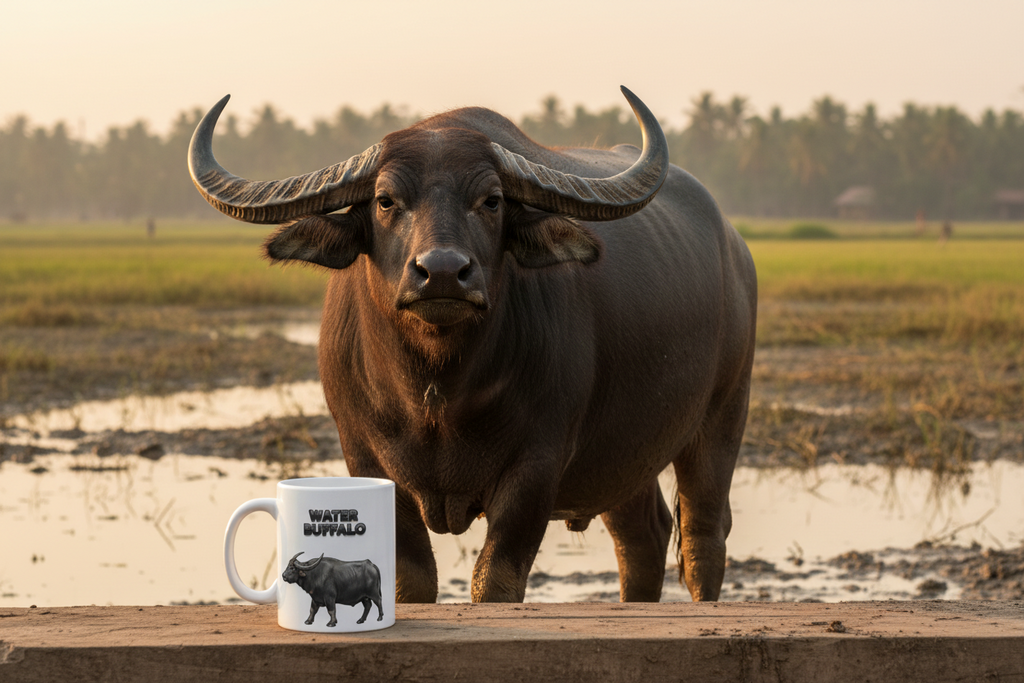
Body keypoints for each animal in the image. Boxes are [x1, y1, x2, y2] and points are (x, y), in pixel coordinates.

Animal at [189, 87, 757, 603]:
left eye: (492, 200)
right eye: (385, 200)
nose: (442, 271)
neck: (438, 393)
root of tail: (735, 247)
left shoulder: (537, 467)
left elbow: (495, 579)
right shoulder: (364, 455)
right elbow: (411, 580)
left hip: (723, 413)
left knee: (703, 536)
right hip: (624, 456)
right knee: (644, 538)